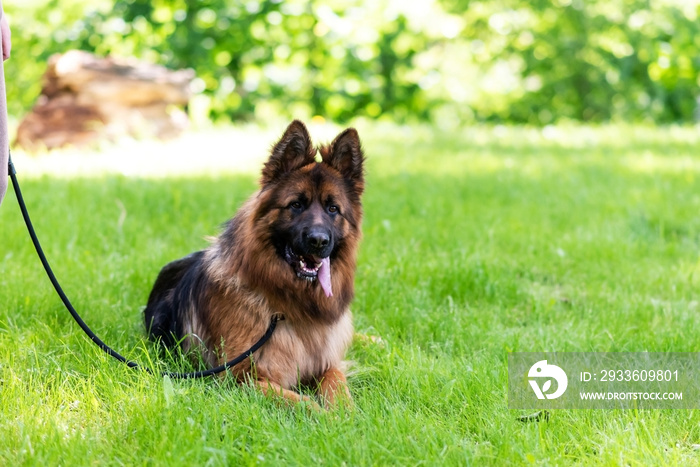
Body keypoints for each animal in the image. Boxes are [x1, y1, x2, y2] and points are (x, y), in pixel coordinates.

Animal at [141, 121, 360, 410]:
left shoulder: (327, 361)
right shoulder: (241, 378)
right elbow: (301, 401)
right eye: (296, 205)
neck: (293, 304)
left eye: (333, 209)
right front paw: (329, 417)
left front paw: (346, 412)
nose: (318, 241)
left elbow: (337, 382)